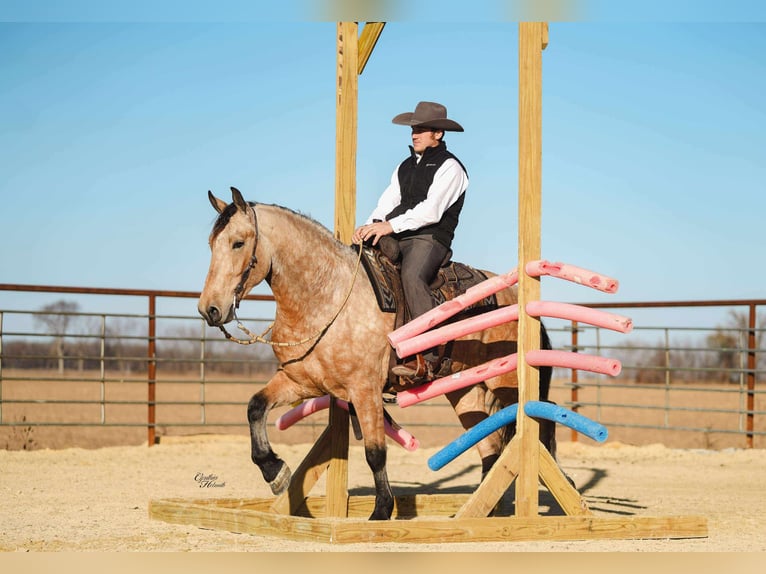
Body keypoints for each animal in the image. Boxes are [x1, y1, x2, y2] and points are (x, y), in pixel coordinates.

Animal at [197, 187, 555, 520]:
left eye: (238, 243)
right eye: (211, 243)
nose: (209, 310)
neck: (326, 296)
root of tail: (515, 296)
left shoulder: (365, 389)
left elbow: (375, 452)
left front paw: (381, 511)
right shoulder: (301, 382)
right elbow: (255, 407)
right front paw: (275, 472)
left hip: (508, 383)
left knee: (537, 424)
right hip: (465, 389)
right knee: (490, 447)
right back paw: (482, 511)